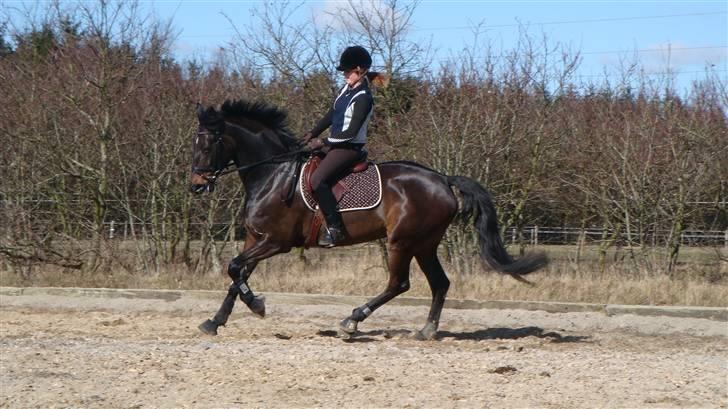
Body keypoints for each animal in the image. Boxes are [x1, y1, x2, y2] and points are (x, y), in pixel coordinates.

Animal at [189, 98, 544, 338]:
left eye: (207, 143)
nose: (196, 185)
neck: (273, 174)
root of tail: (442, 179)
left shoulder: (276, 241)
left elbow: (234, 268)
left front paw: (257, 305)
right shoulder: (255, 238)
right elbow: (236, 274)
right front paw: (215, 321)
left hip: (402, 242)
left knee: (399, 283)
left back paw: (352, 320)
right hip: (424, 244)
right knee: (439, 283)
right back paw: (427, 330)